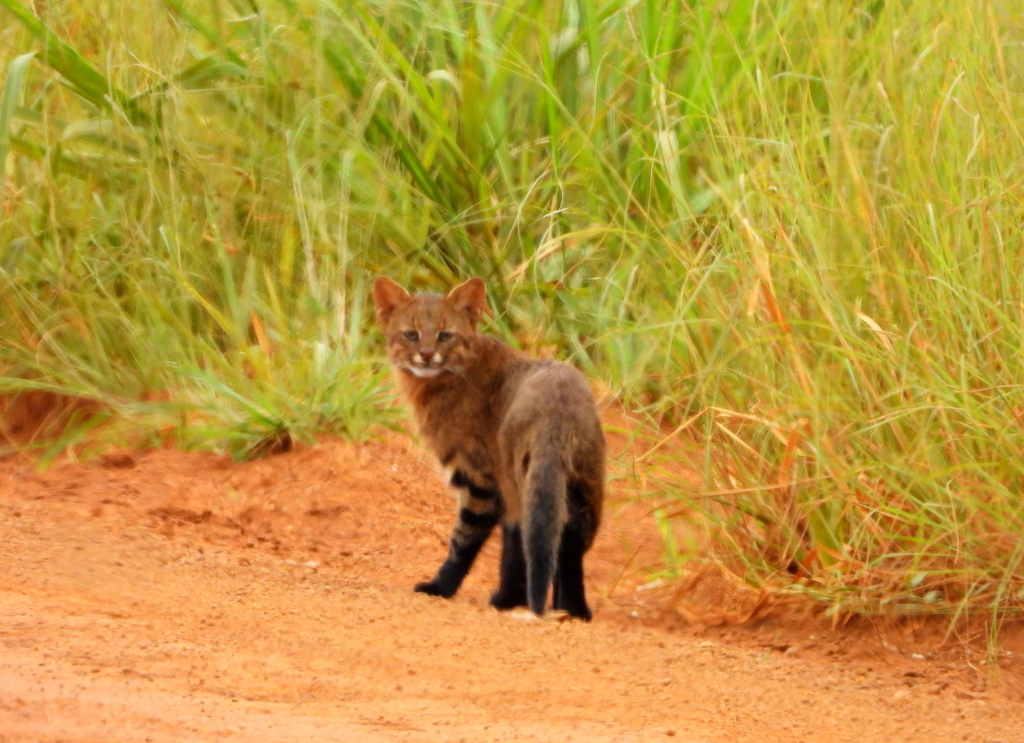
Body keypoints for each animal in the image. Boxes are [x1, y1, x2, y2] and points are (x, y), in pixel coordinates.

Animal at [372, 276, 602, 618]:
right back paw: (571, 610)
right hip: (582, 488)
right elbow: (515, 549)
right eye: (411, 334)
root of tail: (558, 405)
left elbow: (463, 542)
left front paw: (439, 588)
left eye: (445, 335)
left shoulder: (477, 479)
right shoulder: (502, 494)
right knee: (565, 544)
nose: (426, 354)